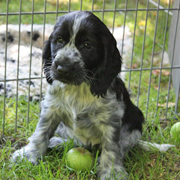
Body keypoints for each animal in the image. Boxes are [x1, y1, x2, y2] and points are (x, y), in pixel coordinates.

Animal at [11, 11, 144, 180]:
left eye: (87, 45)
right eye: (59, 40)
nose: (62, 68)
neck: (78, 88)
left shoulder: (111, 119)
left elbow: (112, 147)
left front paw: (112, 172)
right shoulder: (51, 108)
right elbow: (41, 131)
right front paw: (28, 155)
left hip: (136, 121)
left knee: (122, 146)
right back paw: (57, 142)